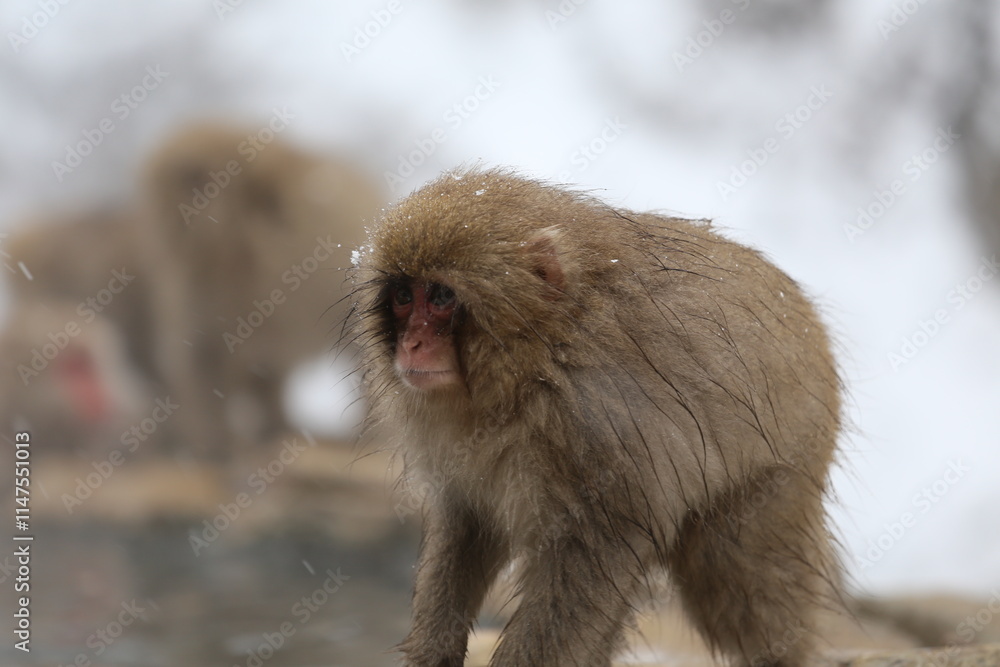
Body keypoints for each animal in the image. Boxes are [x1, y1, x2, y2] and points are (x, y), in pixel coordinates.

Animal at [351, 168, 843, 666]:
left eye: (441, 296)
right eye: (404, 296)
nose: (411, 344)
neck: (534, 362)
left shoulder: (597, 426)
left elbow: (598, 551)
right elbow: (466, 526)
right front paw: (434, 651)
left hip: (778, 470)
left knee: (735, 576)